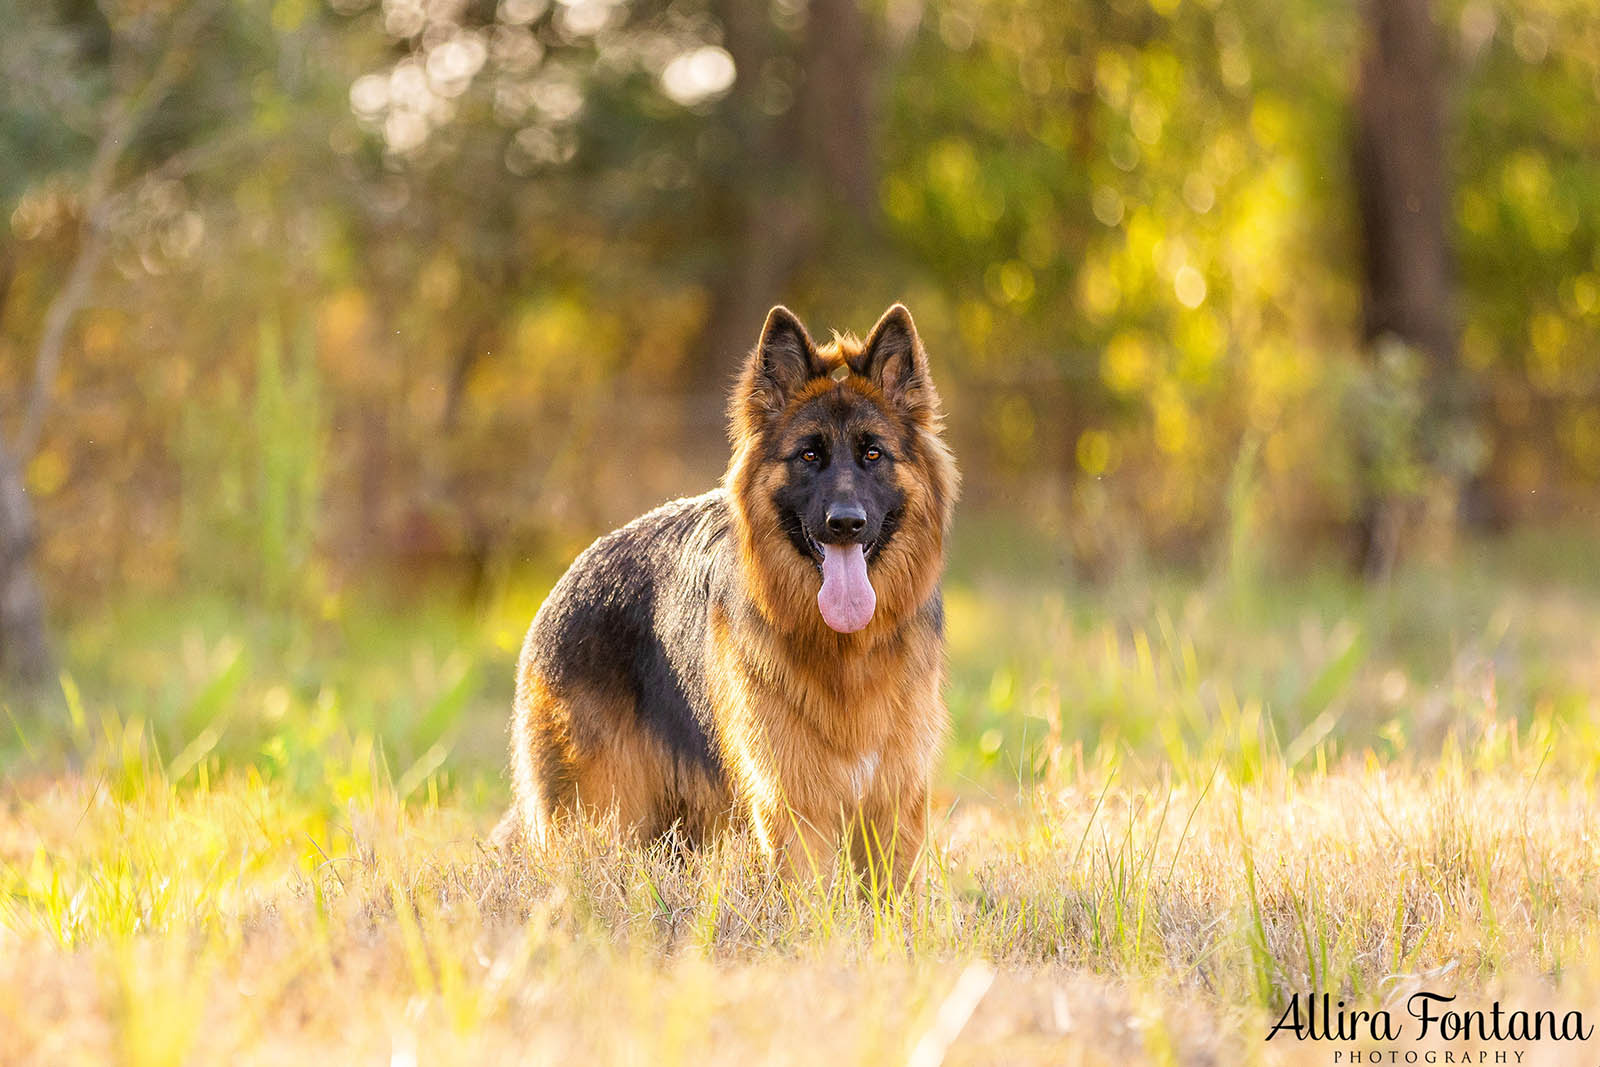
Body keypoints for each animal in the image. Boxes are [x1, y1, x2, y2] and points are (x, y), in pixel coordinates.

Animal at [492, 302, 953, 883]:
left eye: (873, 454)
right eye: (808, 456)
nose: (846, 523)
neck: (845, 652)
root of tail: (564, 583)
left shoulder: (894, 802)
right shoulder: (793, 804)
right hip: (602, 818)